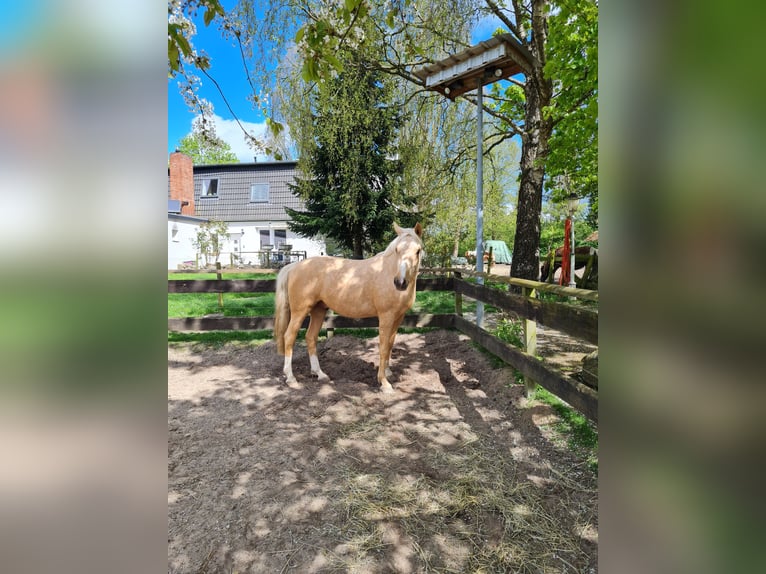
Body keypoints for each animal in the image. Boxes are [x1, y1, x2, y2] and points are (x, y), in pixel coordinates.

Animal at [274, 223, 426, 394]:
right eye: (397, 250)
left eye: (418, 250)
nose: (400, 283)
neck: (388, 271)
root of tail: (294, 266)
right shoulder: (386, 316)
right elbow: (383, 346)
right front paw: (384, 383)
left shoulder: (398, 317)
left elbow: (390, 344)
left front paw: (387, 372)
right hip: (300, 311)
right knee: (289, 337)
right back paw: (291, 378)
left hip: (318, 311)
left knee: (310, 337)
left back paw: (320, 374)